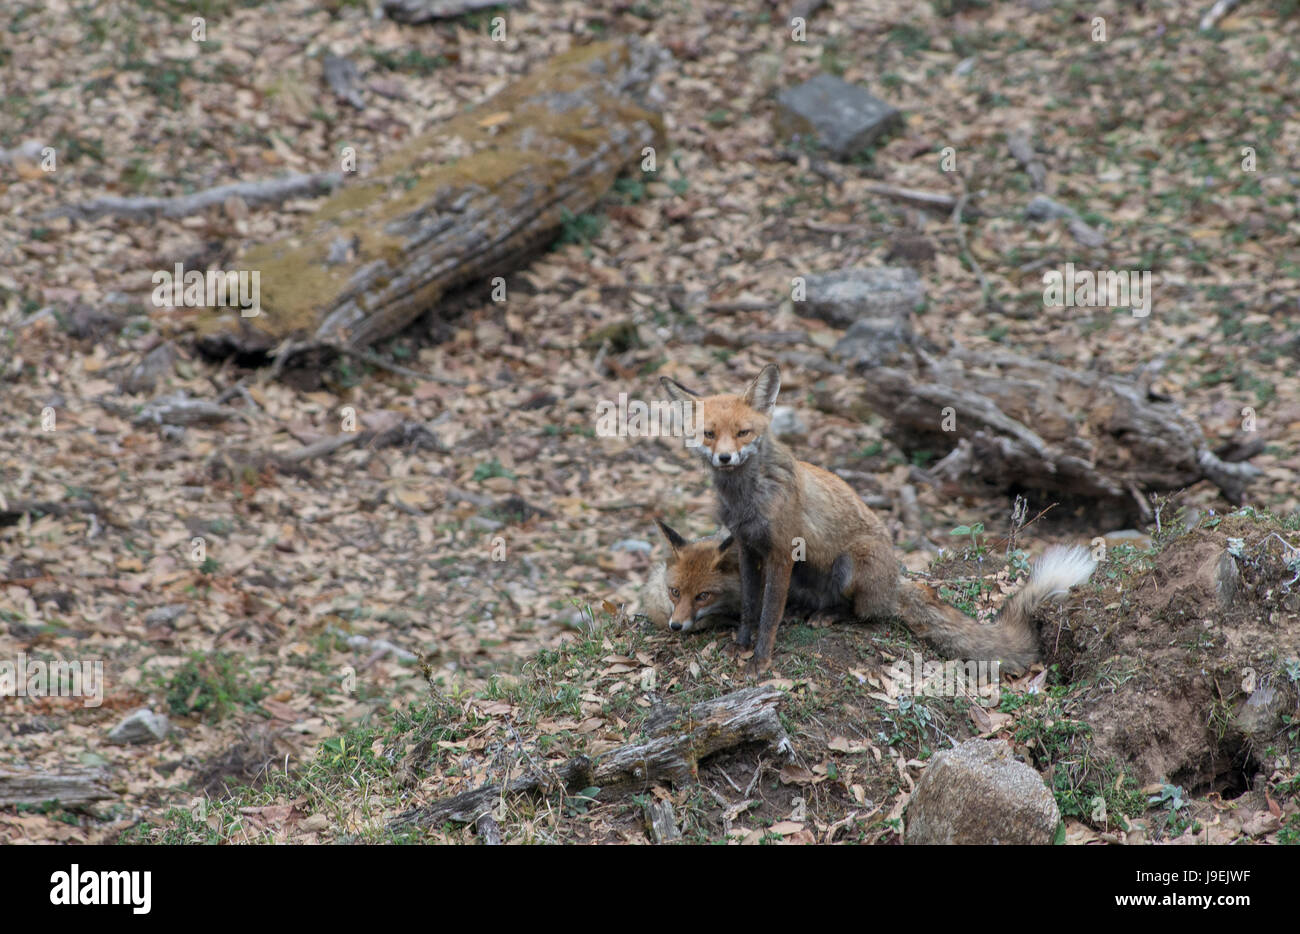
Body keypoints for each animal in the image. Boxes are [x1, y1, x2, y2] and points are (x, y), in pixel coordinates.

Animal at [660, 361, 1097, 676]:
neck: (746, 498)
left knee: (863, 613)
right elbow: (752, 606)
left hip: (851, 564)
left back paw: (830, 616)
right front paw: (741, 645)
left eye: (744, 433)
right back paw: (809, 611)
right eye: (709, 434)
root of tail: (895, 584)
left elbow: (768, 615)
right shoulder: (749, 548)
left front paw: (760, 661)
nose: (725, 458)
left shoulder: (782, 551)